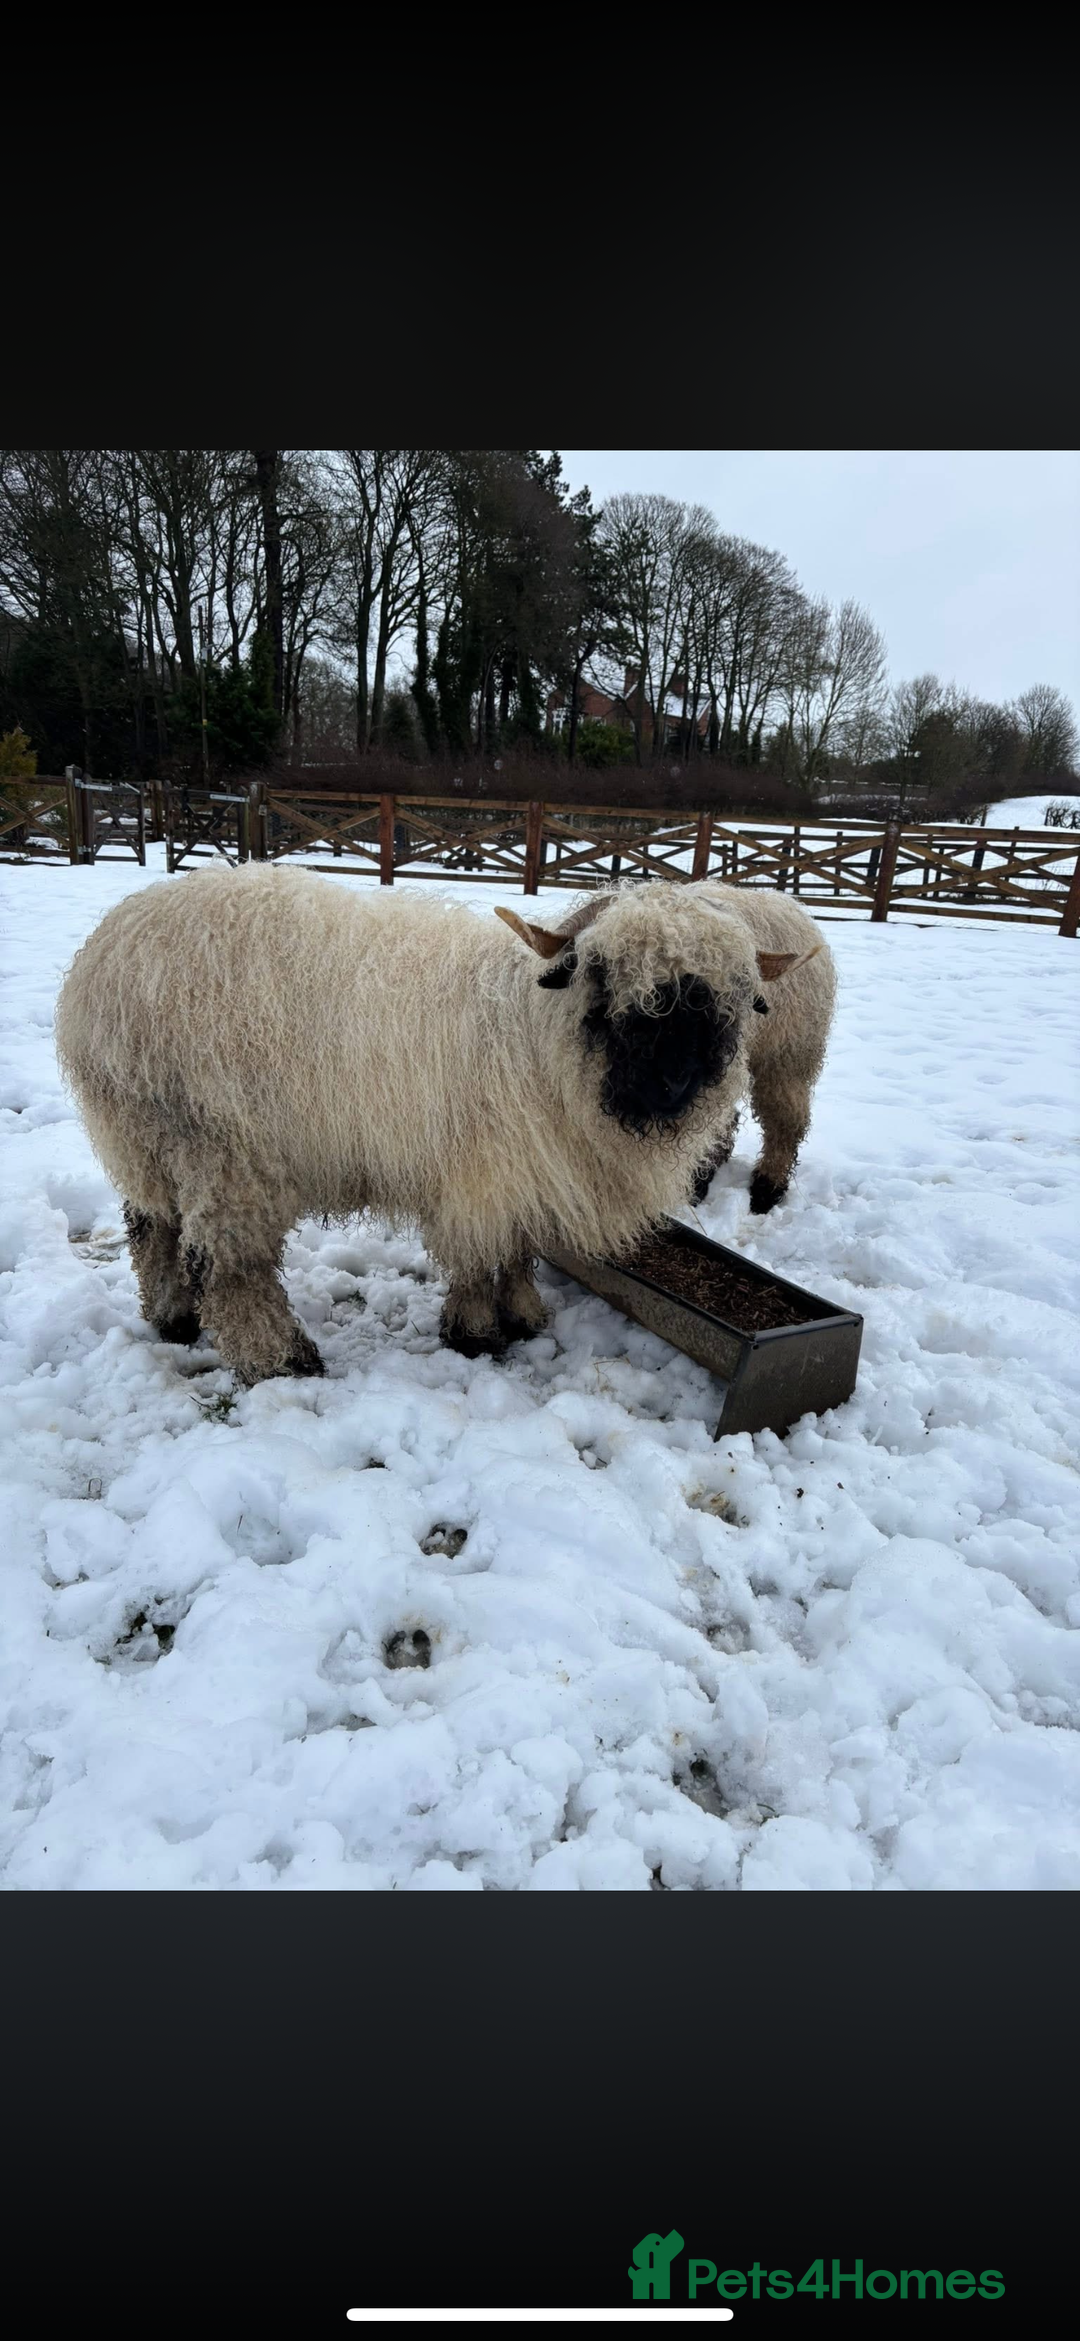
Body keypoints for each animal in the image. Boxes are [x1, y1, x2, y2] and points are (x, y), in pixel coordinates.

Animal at [54, 864, 835, 1386]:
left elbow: (518, 1249)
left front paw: (525, 1315)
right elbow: (476, 1256)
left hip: (147, 1138)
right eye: (608, 982)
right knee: (229, 1266)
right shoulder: (480, 1176)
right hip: (222, 1146)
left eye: (730, 1003)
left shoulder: (528, 1171)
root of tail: (99, 963)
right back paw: (280, 1359)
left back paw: (172, 1319)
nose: (674, 1083)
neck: (537, 1036)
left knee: (152, 1227)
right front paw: (476, 1333)